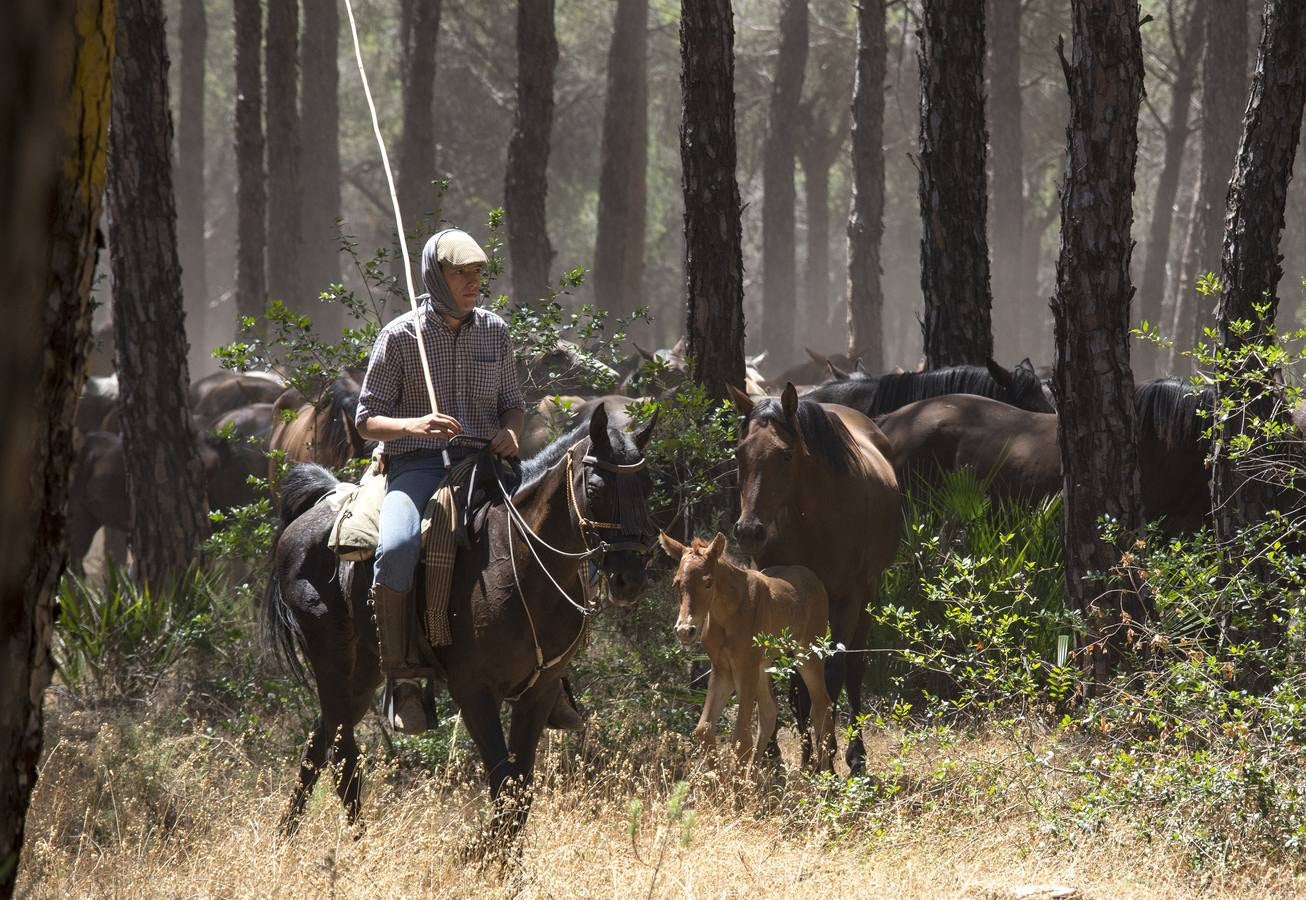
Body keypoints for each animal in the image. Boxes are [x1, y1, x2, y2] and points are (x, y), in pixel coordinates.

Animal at [658, 530, 830, 768]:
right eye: (676, 584)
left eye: (708, 583)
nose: (685, 631)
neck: (726, 615)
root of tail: (816, 580)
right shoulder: (722, 669)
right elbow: (704, 729)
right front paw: (717, 777)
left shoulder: (744, 667)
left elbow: (741, 739)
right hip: (764, 665)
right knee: (770, 712)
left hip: (808, 654)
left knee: (822, 705)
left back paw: (824, 773)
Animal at [726, 381, 898, 768]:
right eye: (740, 455)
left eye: (786, 455)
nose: (749, 532)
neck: (813, 520)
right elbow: (788, 677)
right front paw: (788, 756)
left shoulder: (848, 597)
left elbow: (832, 671)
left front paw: (827, 757)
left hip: (867, 595)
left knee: (853, 670)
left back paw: (855, 757)